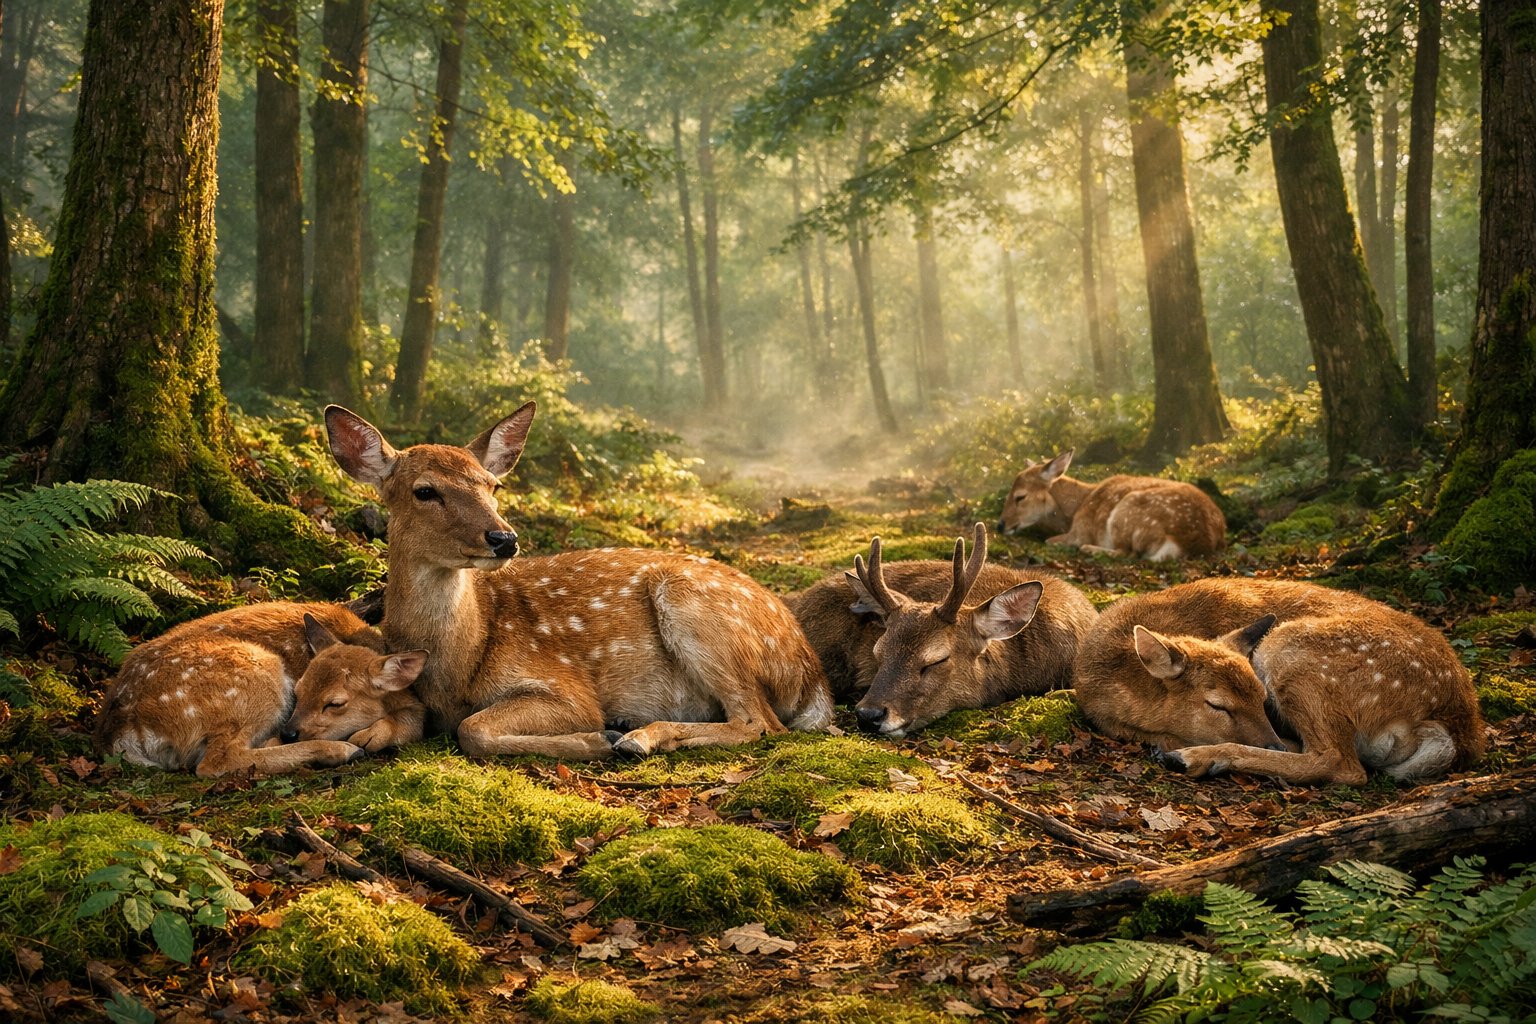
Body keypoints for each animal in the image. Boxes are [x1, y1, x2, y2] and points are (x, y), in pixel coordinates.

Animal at [94, 603, 428, 777]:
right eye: (299, 690)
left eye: (335, 703)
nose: (290, 731)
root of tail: (121, 730)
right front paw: (361, 741)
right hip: (253, 681)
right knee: (216, 761)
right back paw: (339, 750)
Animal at [323, 402, 834, 760]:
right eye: (424, 491)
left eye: (493, 485)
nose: (504, 538)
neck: (459, 664)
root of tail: (811, 673)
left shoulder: (566, 687)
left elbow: (474, 729)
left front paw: (595, 738)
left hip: (697, 610)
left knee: (759, 722)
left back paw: (638, 736)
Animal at [998, 449, 1225, 561]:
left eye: (1020, 496)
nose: (1000, 525)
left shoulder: (1079, 532)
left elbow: (1049, 541)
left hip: (1127, 512)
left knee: (1129, 553)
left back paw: (1090, 549)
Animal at [1073, 578, 1486, 785]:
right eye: (1217, 704)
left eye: (1261, 696)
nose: (1272, 739)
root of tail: (1458, 727)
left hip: (1291, 650)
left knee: (1342, 764)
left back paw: (1199, 757)